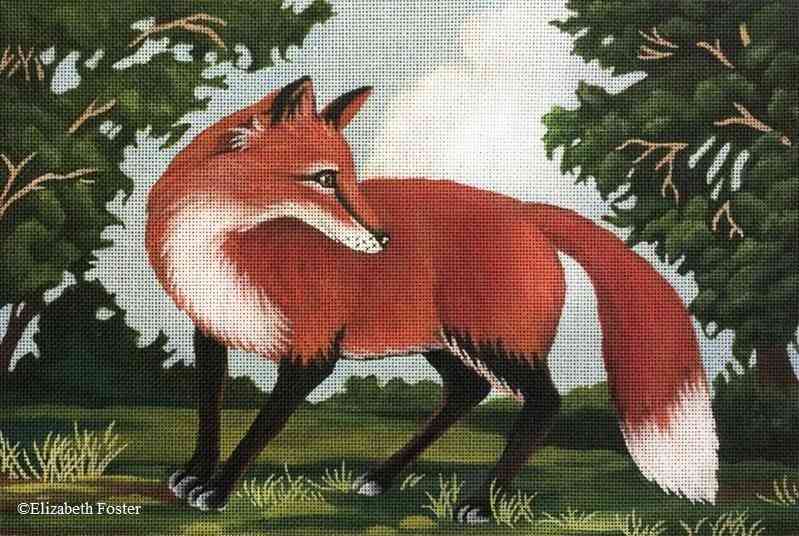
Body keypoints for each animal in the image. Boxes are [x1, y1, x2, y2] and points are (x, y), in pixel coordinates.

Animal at [145, 77, 719, 522]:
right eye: (325, 178)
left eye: (349, 177)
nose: (383, 237)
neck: (228, 246)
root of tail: (523, 209)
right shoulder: (210, 331)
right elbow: (209, 414)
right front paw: (194, 475)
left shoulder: (313, 352)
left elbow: (258, 430)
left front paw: (216, 491)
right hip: (439, 341)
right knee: (467, 391)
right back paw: (382, 478)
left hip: (495, 343)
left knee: (544, 404)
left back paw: (481, 504)